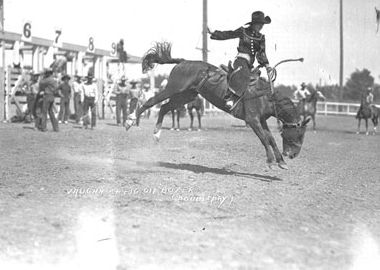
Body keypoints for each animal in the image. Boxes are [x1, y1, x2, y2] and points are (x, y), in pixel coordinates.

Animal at [126, 42, 310, 169]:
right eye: (299, 134)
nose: (293, 154)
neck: (265, 96)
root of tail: (183, 61)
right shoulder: (252, 120)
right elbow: (264, 138)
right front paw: (271, 161)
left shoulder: (262, 120)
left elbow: (270, 138)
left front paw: (281, 161)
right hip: (174, 88)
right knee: (151, 102)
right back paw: (130, 120)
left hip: (185, 96)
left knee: (164, 108)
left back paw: (157, 134)